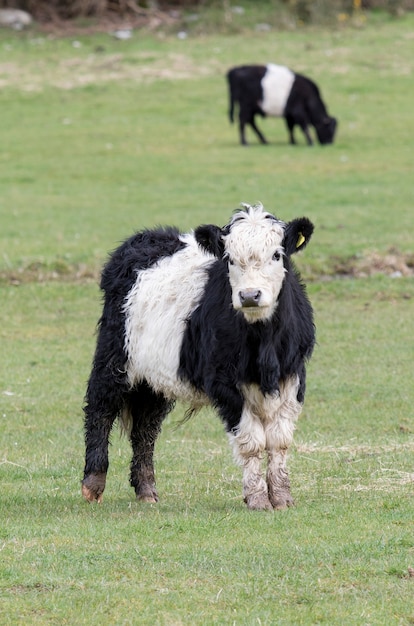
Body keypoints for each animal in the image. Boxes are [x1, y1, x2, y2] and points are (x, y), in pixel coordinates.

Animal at [81, 202, 316, 510]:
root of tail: (148, 238)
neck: (264, 345)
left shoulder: (293, 376)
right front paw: (257, 499)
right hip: (114, 357)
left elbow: (279, 439)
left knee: (145, 429)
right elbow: (252, 440)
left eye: (277, 254)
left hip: (153, 380)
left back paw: (147, 490)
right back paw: (93, 485)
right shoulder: (225, 383)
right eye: (229, 259)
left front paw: (282, 497)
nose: (249, 295)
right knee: (100, 408)